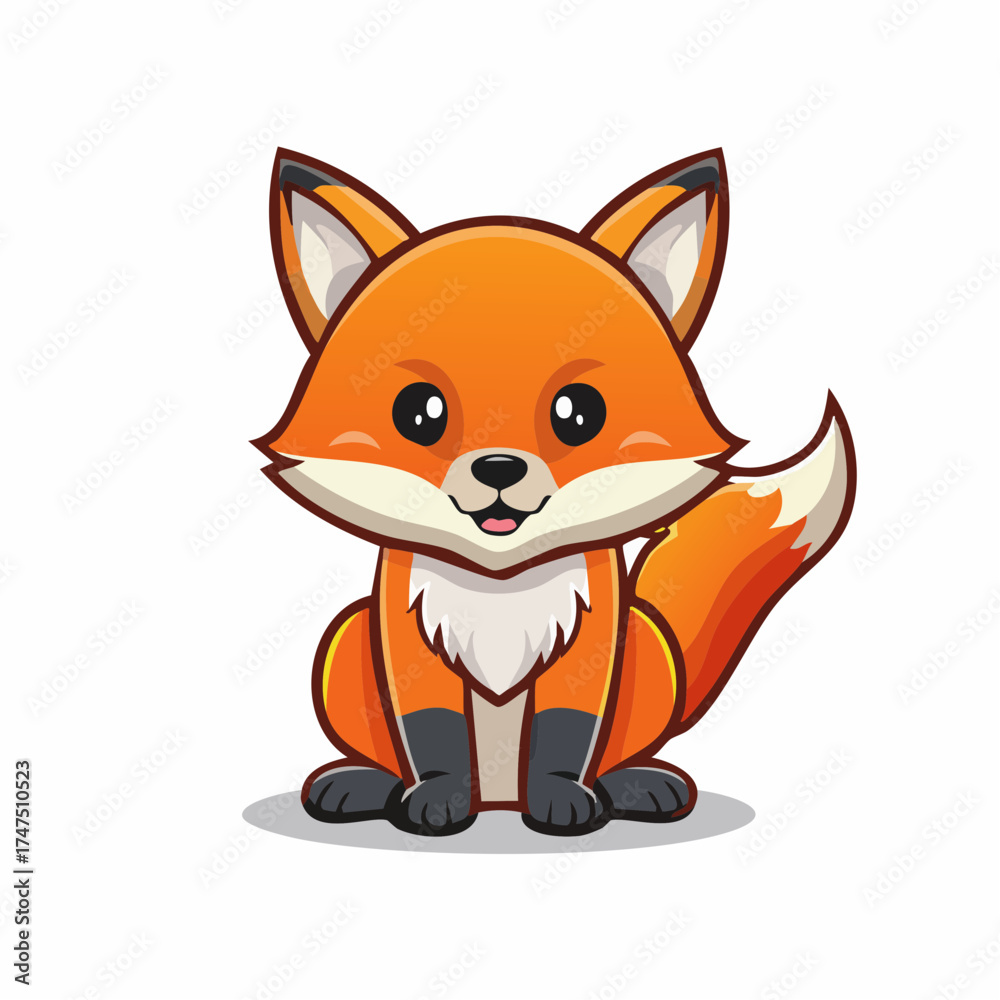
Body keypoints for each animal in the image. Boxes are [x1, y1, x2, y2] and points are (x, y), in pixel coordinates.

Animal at [255, 146, 856, 837]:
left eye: (578, 413)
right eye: (419, 413)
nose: (498, 468)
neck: (499, 585)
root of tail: (499, 800)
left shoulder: (594, 634)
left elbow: (566, 730)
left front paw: (563, 800)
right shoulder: (403, 634)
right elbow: (431, 732)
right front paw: (437, 800)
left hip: (645, 647)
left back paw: (635, 783)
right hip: (347, 636)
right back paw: (363, 783)